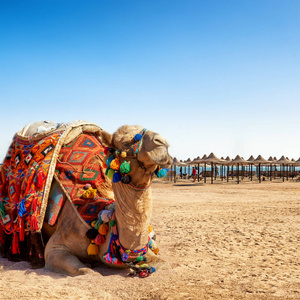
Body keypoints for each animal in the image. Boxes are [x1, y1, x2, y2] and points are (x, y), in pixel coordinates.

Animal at [0, 120, 172, 276]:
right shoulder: (55, 247)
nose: (162, 142)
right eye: (125, 142)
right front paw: (89, 266)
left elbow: (163, 262)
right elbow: (88, 272)